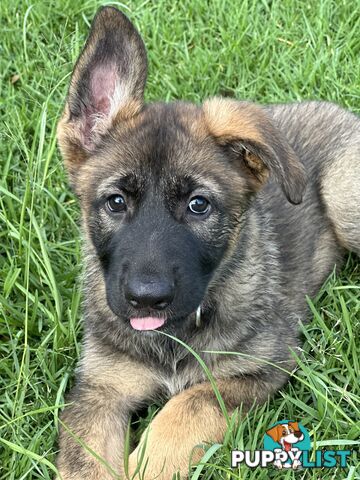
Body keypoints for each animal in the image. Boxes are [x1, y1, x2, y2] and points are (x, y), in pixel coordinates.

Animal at [54, 4, 358, 480]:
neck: (175, 335)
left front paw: (150, 462)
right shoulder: (100, 388)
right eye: (116, 202)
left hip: (345, 200)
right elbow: (85, 461)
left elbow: (188, 405)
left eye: (199, 205)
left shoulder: (259, 367)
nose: (146, 298)